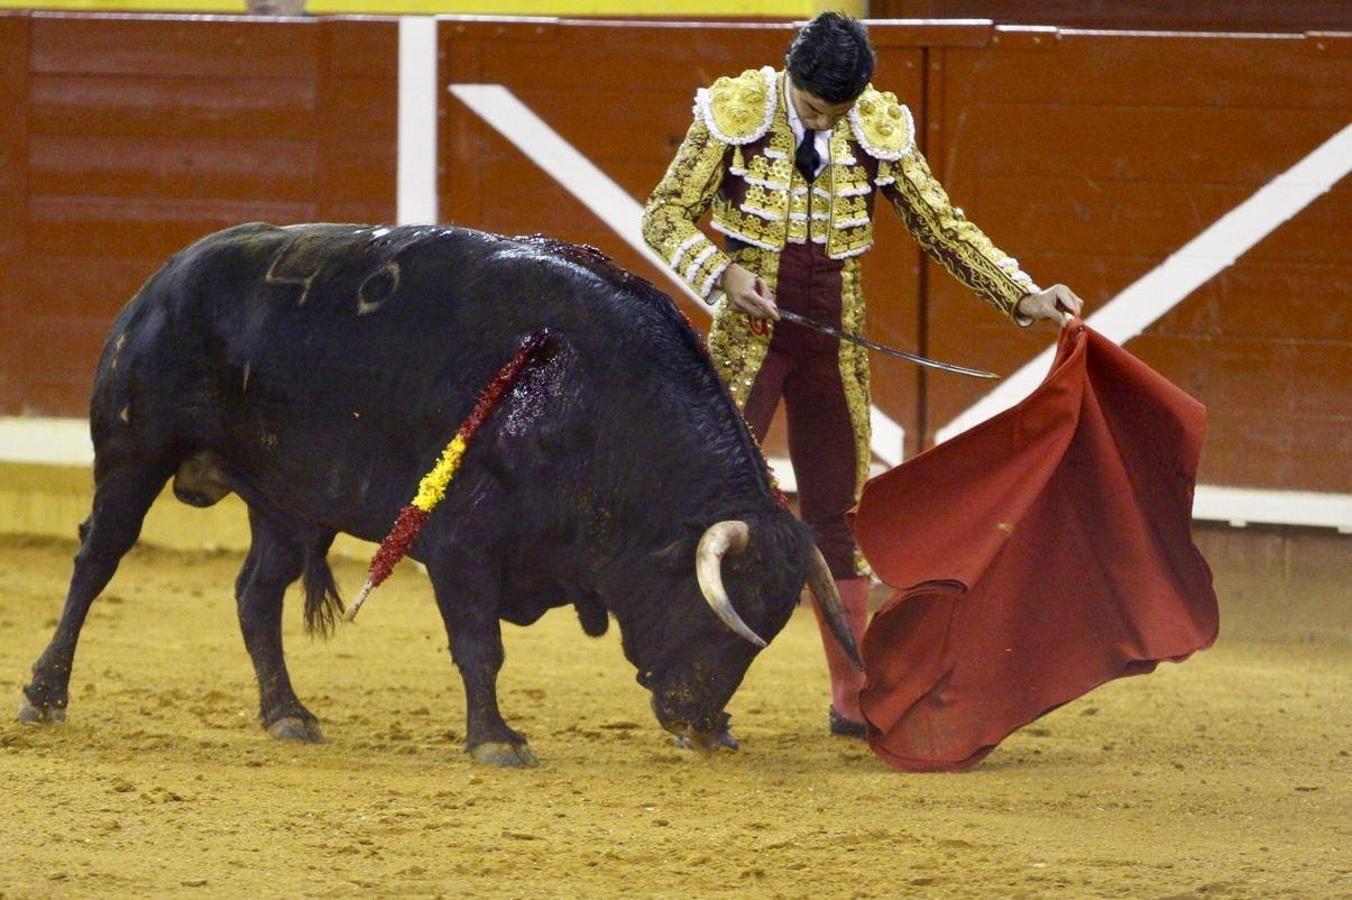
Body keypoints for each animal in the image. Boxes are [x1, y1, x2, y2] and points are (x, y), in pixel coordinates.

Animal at [21, 220, 859, 762]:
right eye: (723, 609)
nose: (704, 722)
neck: (584, 393)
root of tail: (166, 277)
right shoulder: (462, 545)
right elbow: (480, 645)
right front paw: (496, 741)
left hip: (286, 501)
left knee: (256, 594)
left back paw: (288, 714)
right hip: (133, 454)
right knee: (96, 563)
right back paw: (44, 695)